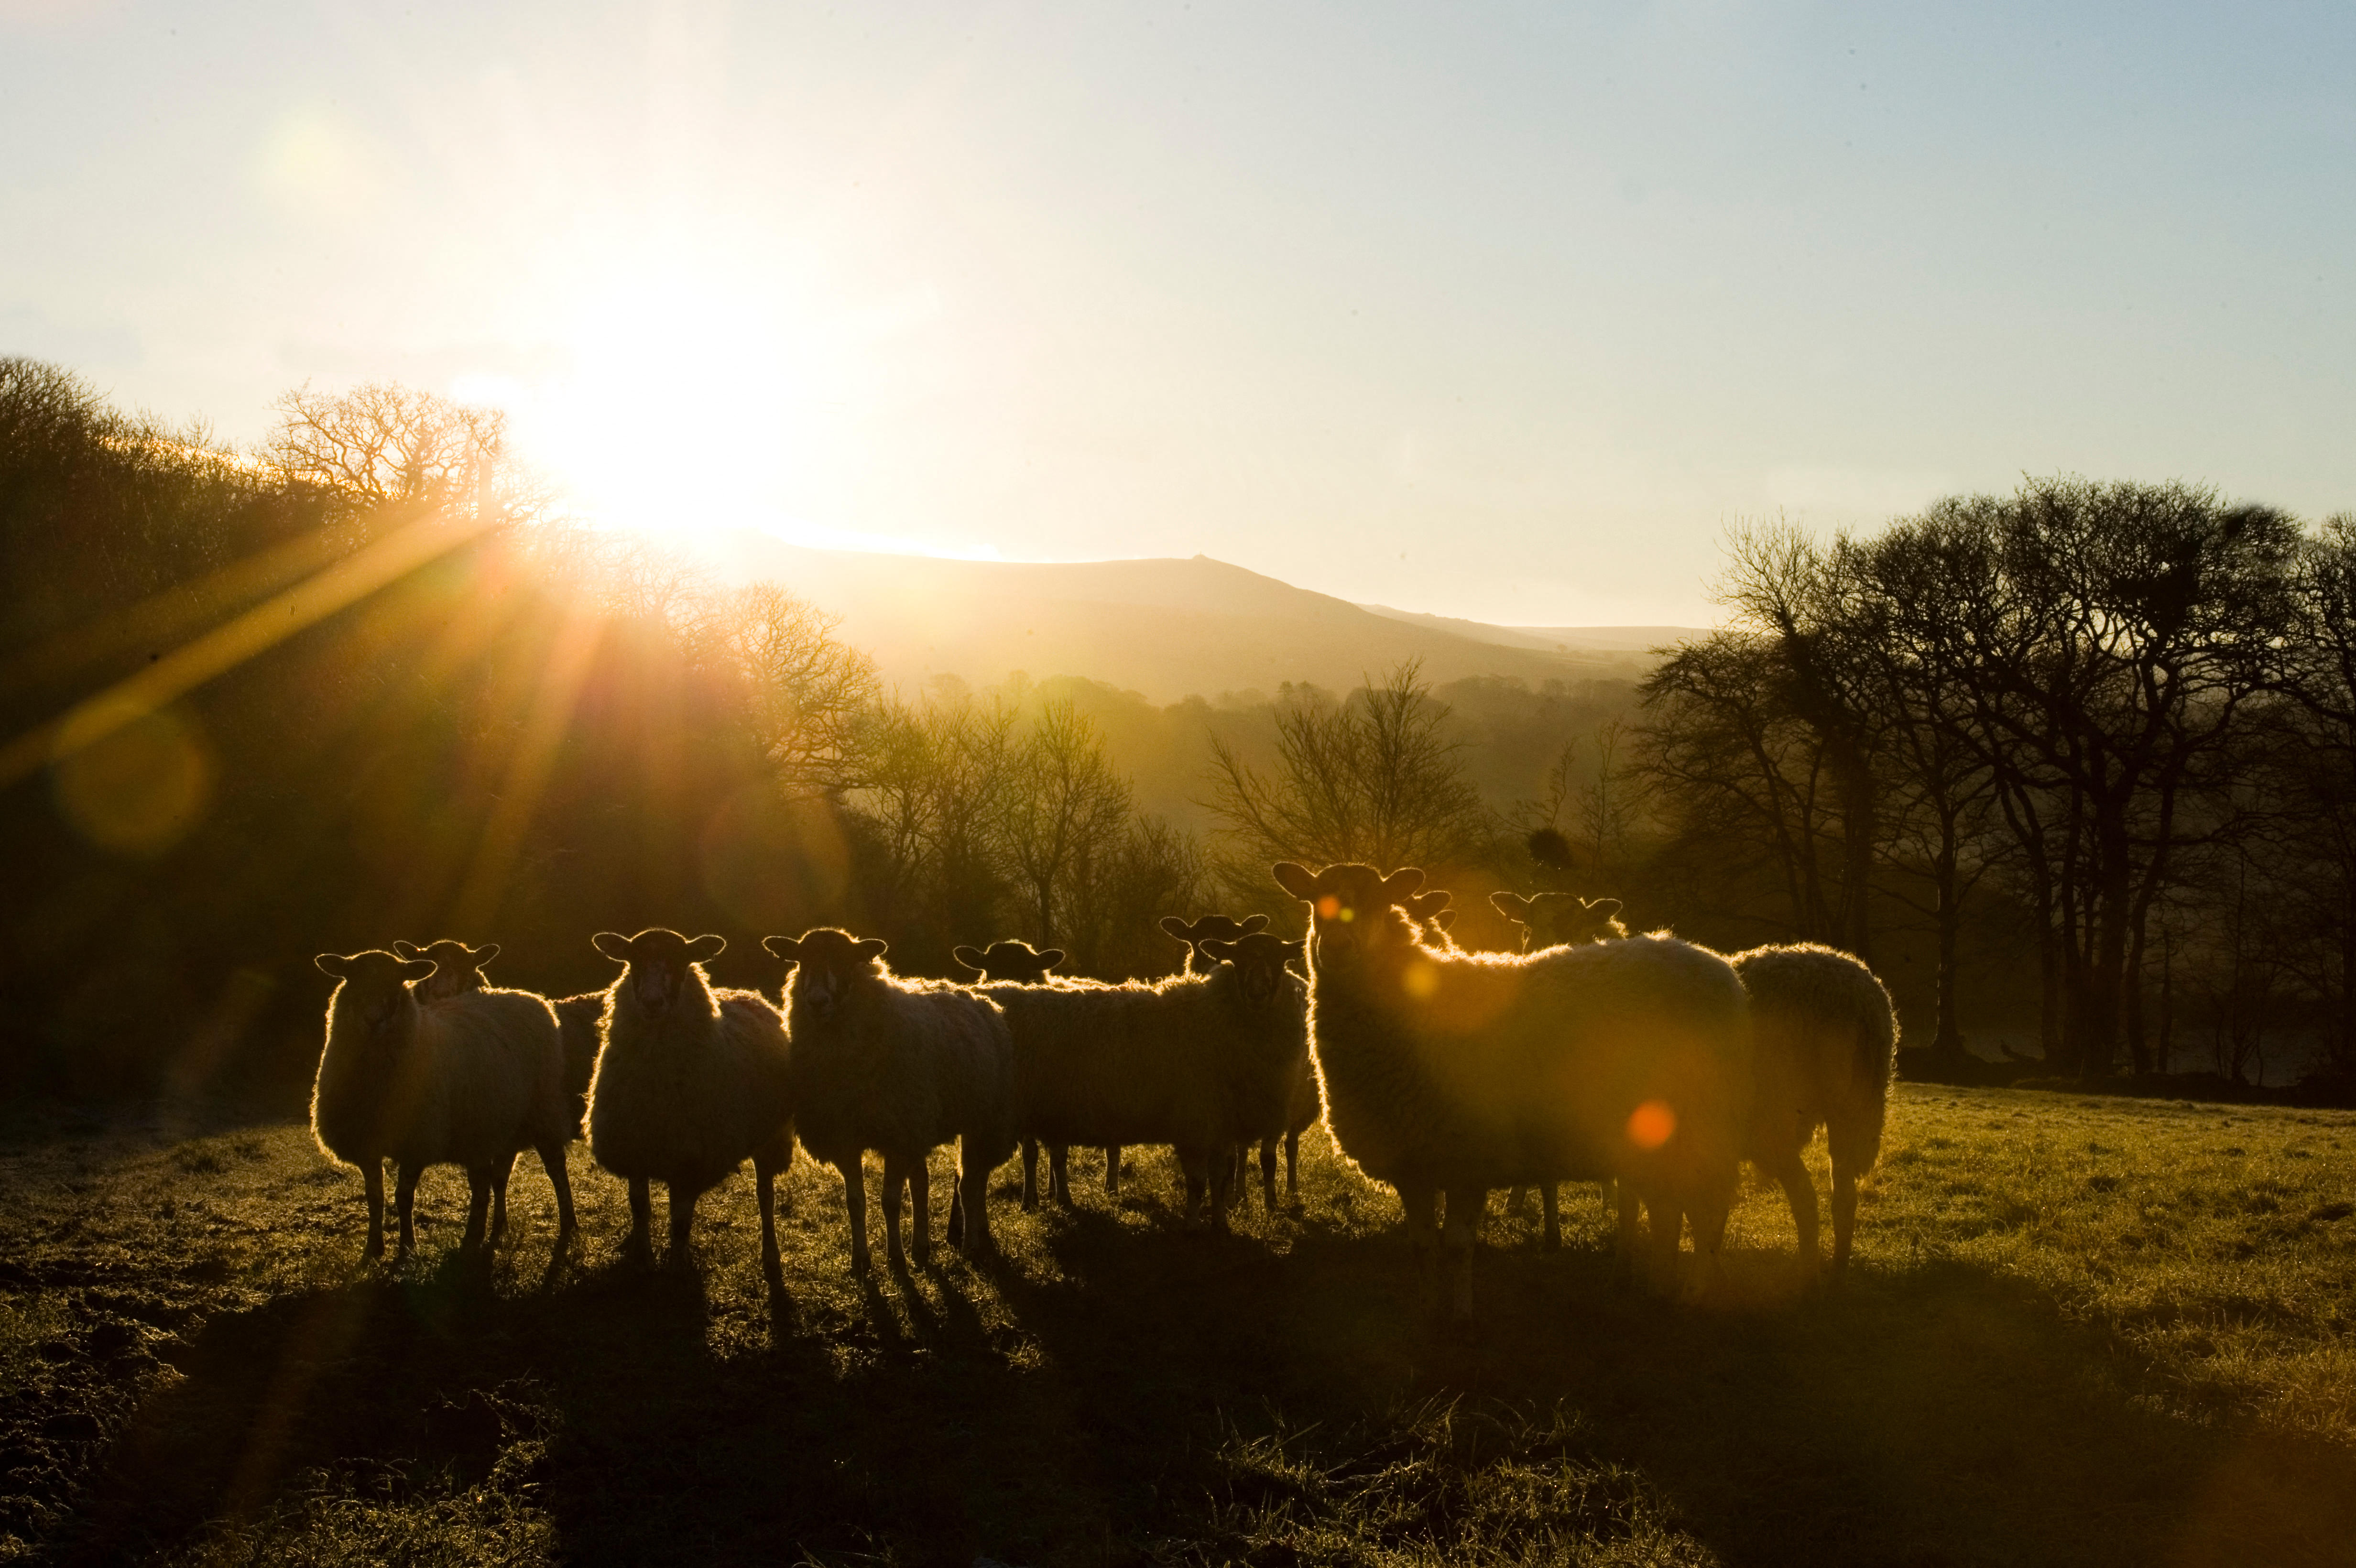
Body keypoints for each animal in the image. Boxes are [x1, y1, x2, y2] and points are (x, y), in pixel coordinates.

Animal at [310, 949, 577, 1259]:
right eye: (351, 978)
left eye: (397, 981)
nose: (373, 1019)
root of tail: (528, 996)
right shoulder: (366, 1143)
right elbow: (375, 1198)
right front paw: (373, 1250)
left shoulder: (416, 1141)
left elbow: (403, 1197)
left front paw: (407, 1248)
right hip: (494, 1124)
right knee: (491, 1180)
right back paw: (488, 1232)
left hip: (543, 1111)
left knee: (555, 1170)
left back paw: (569, 1225)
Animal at [583, 929, 795, 1268]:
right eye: (633, 960)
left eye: (680, 960)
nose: (652, 1003)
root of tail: (749, 995)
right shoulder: (636, 1151)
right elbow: (640, 1209)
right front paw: (642, 1258)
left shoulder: (689, 1162)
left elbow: (681, 1223)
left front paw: (678, 1265)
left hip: (770, 1138)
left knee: (766, 1196)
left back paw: (771, 1254)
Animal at [767, 928, 1016, 1273]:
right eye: (801, 960)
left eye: (846, 960)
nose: (817, 1002)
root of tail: (977, 998)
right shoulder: (847, 1137)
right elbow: (855, 1202)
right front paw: (861, 1261)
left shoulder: (897, 1136)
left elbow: (890, 1201)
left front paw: (895, 1258)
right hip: (921, 1121)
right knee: (924, 1183)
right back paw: (923, 1248)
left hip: (982, 1118)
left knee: (971, 1183)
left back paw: (971, 1246)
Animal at [1721, 943, 1899, 1278]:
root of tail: (1856, 1000)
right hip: (1852, 1109)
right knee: (1843, 1196)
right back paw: (1837, 1271)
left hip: (1773, 1116)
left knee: (1806, 1198)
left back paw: (1808, 1275)